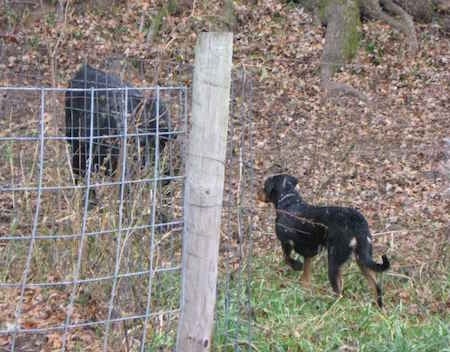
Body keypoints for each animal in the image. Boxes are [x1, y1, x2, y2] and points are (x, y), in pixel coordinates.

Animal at [260, 175, 390, 306]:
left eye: (264, 187)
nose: (258, 194)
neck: (288, 201)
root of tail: (357, 224)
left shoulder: (286, 242)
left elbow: (287, 259)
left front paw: (297, 266)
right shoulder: (308, 252)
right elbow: (306, 276)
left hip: (334, 262)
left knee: (339, 293)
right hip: (362, 259)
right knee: (376, 288)